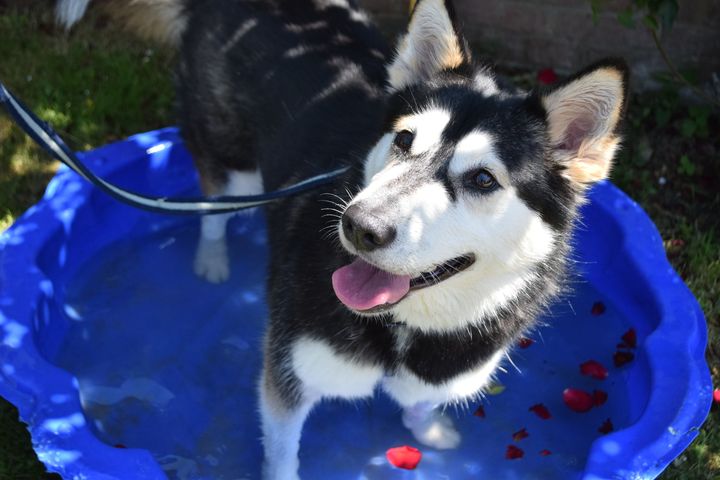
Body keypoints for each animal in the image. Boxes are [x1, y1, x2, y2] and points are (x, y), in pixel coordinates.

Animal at [57, 0, 632, 476]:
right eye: (404, 140)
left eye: (483, 180)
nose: (360, 226)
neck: (402, 328)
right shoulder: (288, 374)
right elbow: (282, 454)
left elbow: (419, 403)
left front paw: (430, 430)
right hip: (231, 163)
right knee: (212, 207)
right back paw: (213, 258)